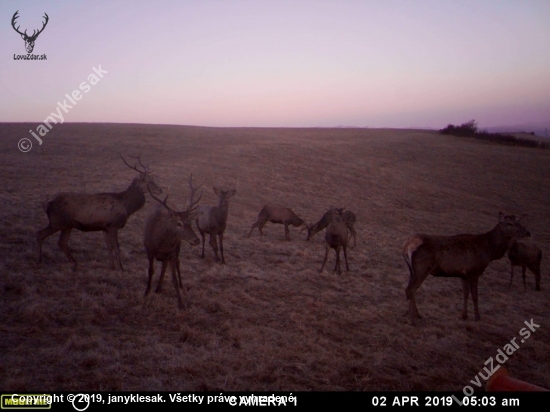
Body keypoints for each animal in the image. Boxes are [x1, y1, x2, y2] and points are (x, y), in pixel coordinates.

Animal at [143, 177, 204, 308]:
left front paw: (181, 303)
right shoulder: (149, 249)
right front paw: (146, 292)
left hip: (176, 247)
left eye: (190, 222)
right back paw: (157, 288)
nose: (196, 240)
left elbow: (174, 279)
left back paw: (176, 286)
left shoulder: (171, 252)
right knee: (164, 265)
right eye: (179, 223)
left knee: (177, 262)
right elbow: (151, 271)